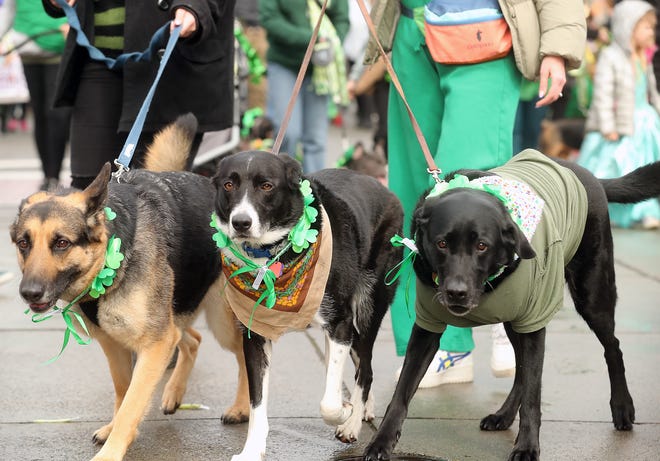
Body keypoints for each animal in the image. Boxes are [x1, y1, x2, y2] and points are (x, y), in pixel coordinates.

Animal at [12, 115, 250, 460]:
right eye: (23, 244)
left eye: (61, 243)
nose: (29, 293)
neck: (116, 248)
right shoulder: (117, 344)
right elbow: (124, 393)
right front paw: (115, 428)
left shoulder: (154, 344)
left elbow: (132, 402)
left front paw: (112, 450)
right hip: (174, 315)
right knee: (192, 338)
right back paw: (174, 393)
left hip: (221, 321)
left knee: (243, 353)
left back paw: (242, 407)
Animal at [210, 149, 402, 458]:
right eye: (229, 184)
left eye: (267, 186)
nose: (240, 222)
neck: (271, 256)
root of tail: (381, 187)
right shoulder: (255, 335)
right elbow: (257, 402)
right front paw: (252, 450)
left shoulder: (340, 323)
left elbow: (330, 403)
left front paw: (346, 413)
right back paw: (364, 409)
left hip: (368, 308)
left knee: (366, 371)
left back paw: (352, 422)